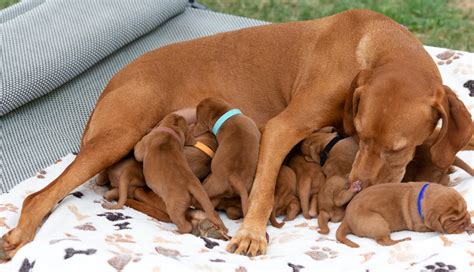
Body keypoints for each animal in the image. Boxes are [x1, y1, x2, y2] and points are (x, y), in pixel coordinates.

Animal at [336, 182, 472, 248]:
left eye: (465, 209)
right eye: (451, 220)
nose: (466, 223)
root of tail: (346, 219)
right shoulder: (420, 226)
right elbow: (435, 228)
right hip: (378, 223)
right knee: (384, 241)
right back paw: (403, 240)